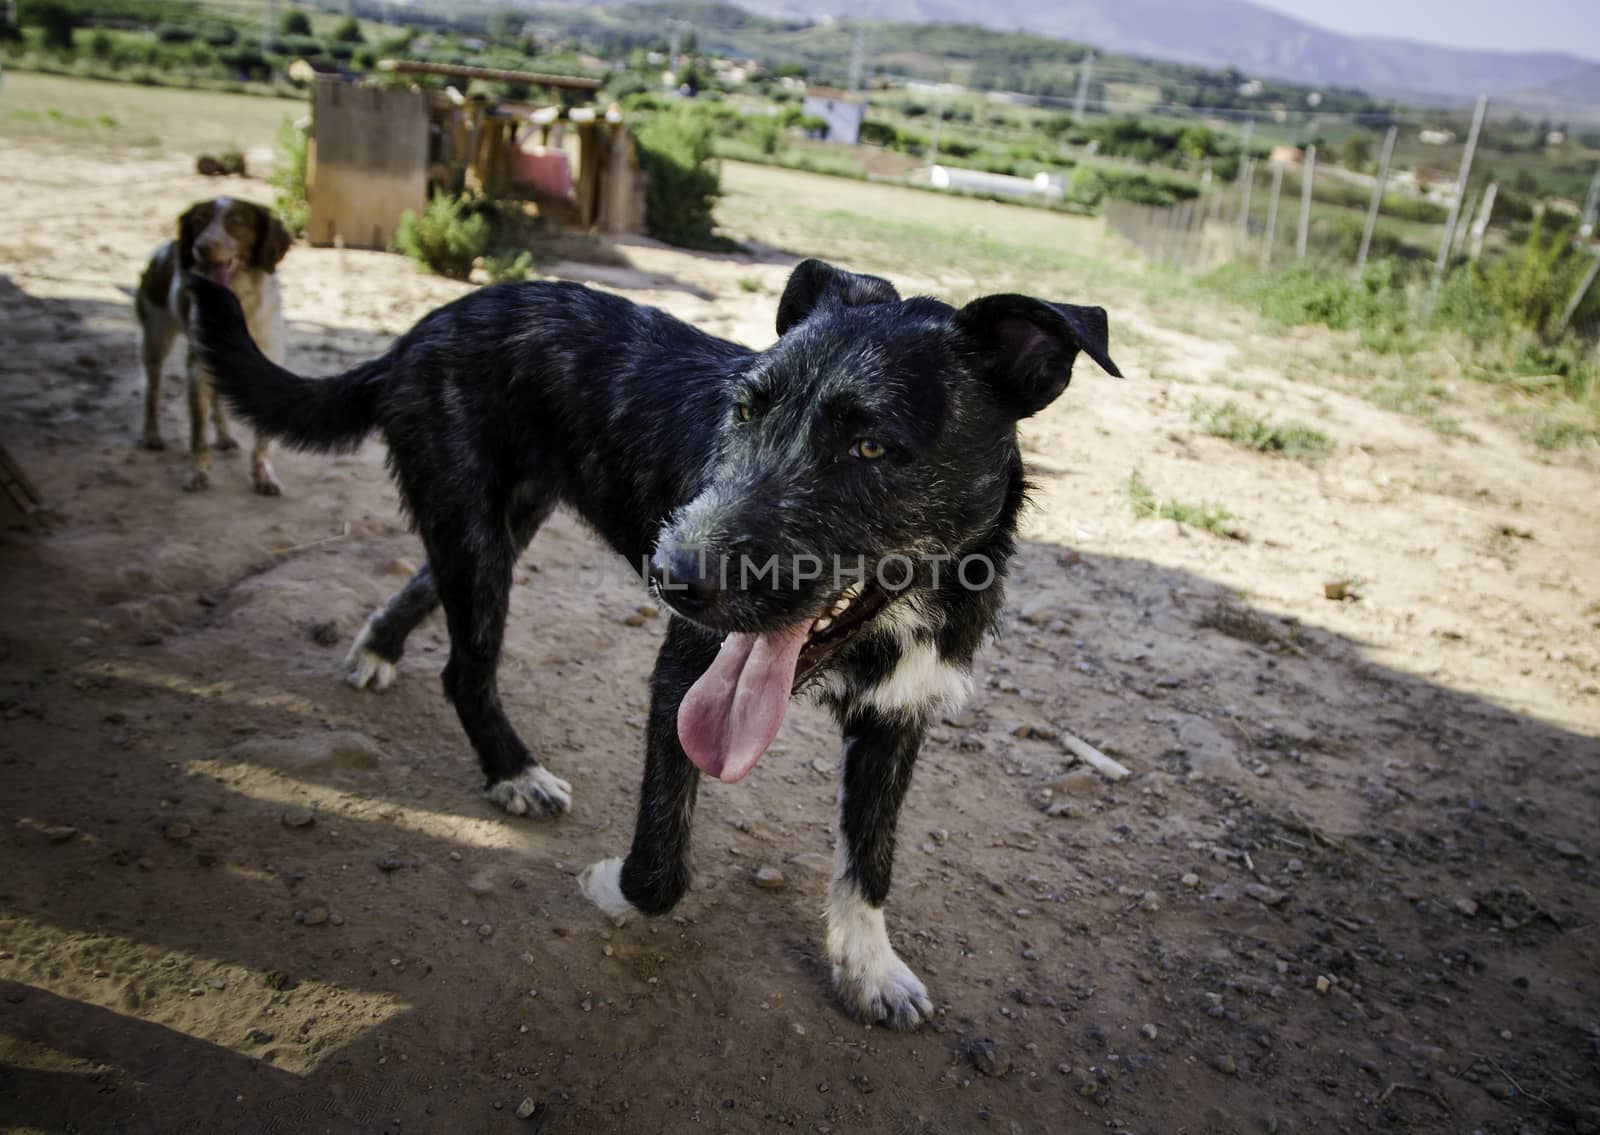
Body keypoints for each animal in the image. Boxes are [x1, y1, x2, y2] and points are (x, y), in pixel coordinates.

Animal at [136, 199, 291, 489]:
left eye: (237, 221)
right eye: (199, 221)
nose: (202, 247)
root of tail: (167, 247)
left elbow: (262, 437)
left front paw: (263, 475)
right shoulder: (197, 369)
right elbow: (198, 432)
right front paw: (198, 473)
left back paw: (224, 437)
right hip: (154, 340)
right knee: (153, 389)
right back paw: (151, 435)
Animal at [190, 264, 1126, 1024]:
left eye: (871, 445)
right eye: (744, 409)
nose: (671, 572)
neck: (901, 615)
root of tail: (421, 329)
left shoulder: (899, 714)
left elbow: (872, 856)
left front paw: (867, 966)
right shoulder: (687, 668)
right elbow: (662, 866)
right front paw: (612, 885)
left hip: (498, 523)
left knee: (430, 588)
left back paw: (381, 649)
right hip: (477, 529)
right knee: (465, 666)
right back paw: (511, 769)